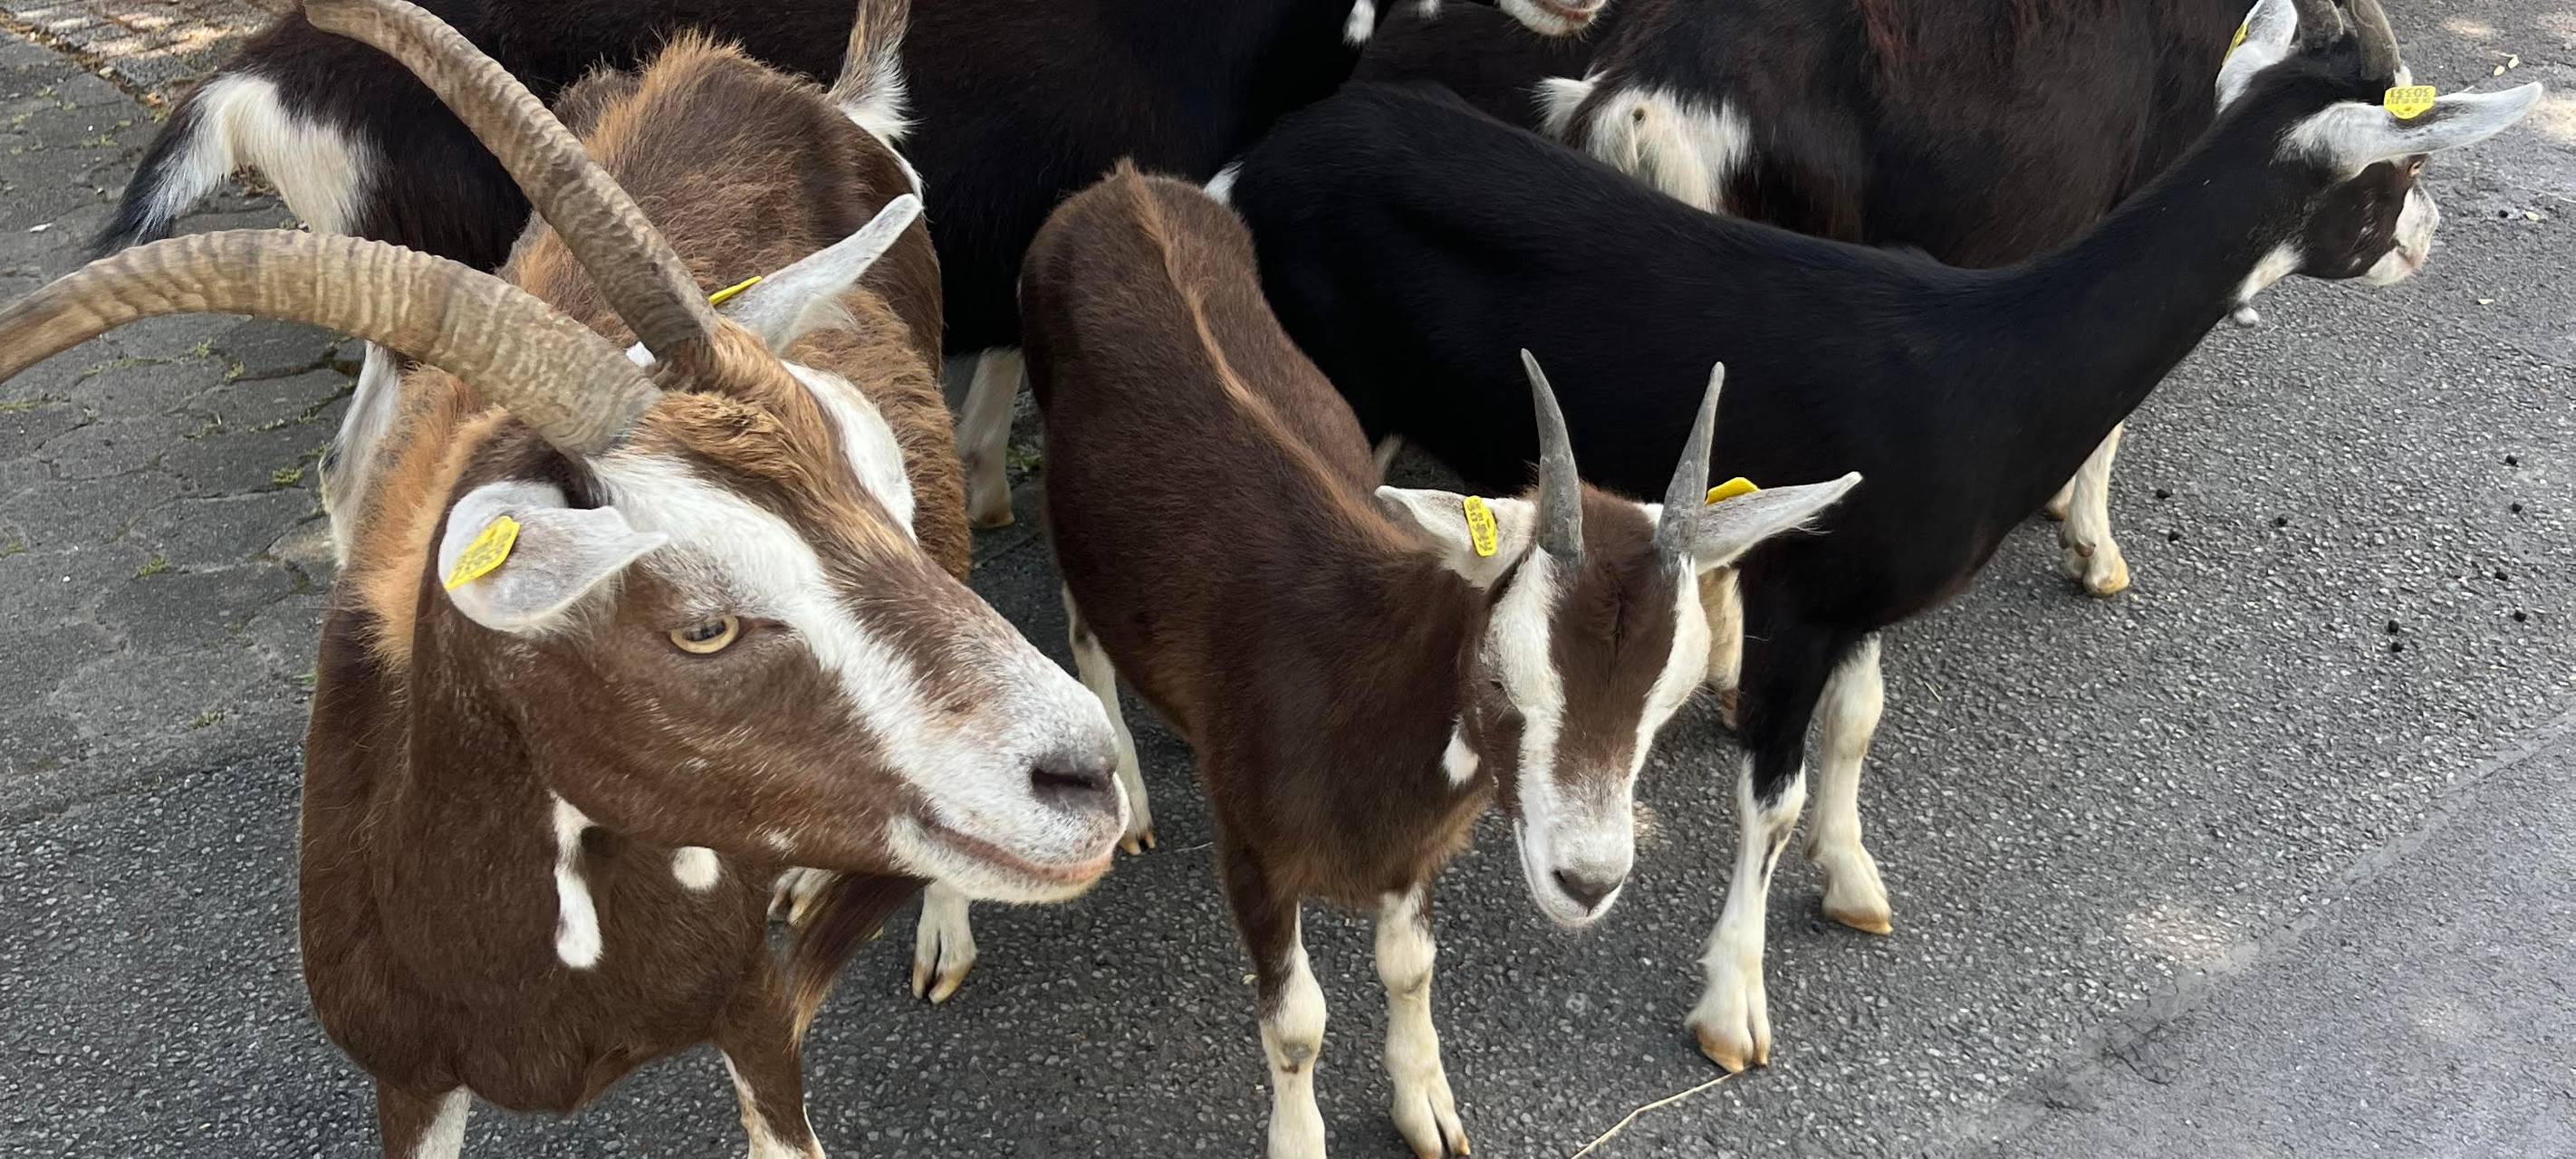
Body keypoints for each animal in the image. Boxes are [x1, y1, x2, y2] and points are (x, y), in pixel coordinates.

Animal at [1011, 164, 1857, 1157]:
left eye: (1673, 694)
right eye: (1499, 677)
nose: (1587, 881)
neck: (1346, 664)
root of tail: (1125, 185)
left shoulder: (1413, 849)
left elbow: (1410, 965)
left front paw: (1426, 1105)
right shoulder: (1254, 855)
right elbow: (1296, 1022)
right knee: (1085, 632)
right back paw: (1132, 800)